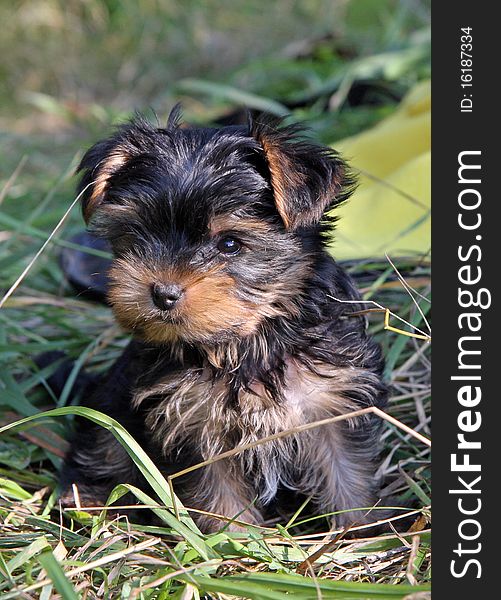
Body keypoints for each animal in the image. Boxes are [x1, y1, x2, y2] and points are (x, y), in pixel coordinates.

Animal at [58, 110, 386, 532]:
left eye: (230, 243)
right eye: (137, 233)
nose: (163, 292)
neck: (248, 340)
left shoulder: (331, 404)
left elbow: (346, 472)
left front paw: (361, 531)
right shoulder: (193, 421)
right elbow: (219, 495)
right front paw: (236, 541)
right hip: (110, 407)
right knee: (103, 447)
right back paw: (89, 500)